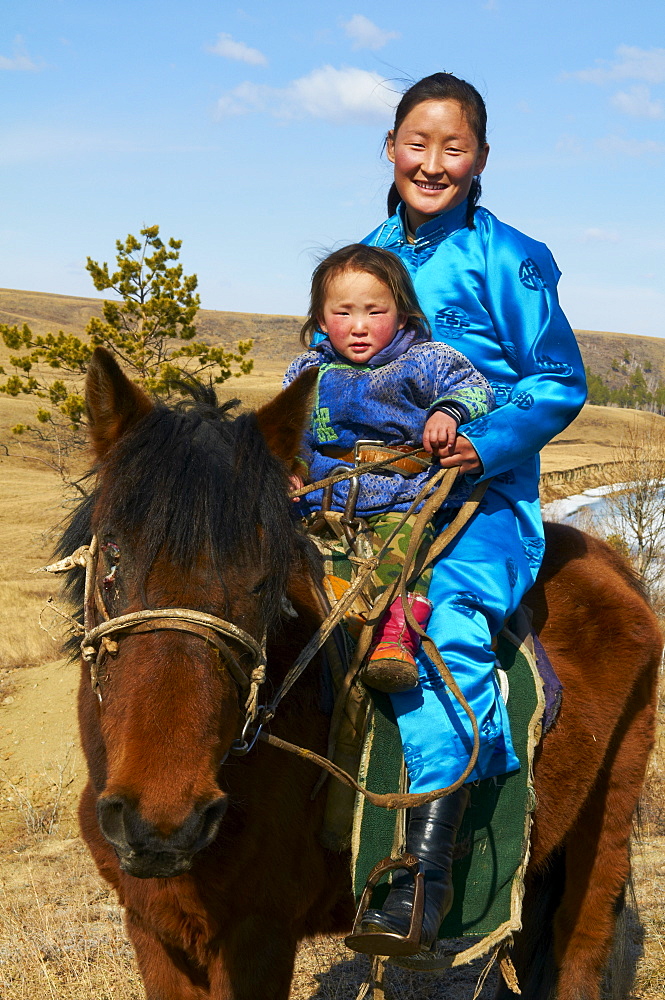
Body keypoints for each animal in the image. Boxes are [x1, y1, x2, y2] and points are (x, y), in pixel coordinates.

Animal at [59, 346, 660, 1000]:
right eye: (112, 556)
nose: (164, 821)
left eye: (263, 578)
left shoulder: (256, 936)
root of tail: (612, 563)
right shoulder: (154, 929)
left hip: (603, 830)